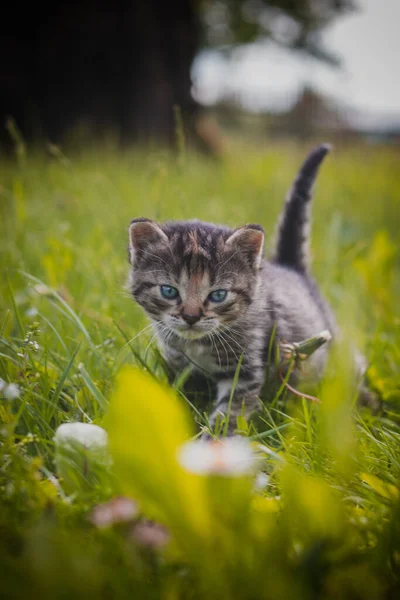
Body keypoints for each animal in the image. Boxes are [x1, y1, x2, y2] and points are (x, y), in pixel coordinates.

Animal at [128, 148, 356, 434]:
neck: (197, 345)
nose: (191, 317)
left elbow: (230, 414)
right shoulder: (178, 365)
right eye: (169, 291)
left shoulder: (244, 371)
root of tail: (292, 268)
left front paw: (212, 442)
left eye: (218, 295)